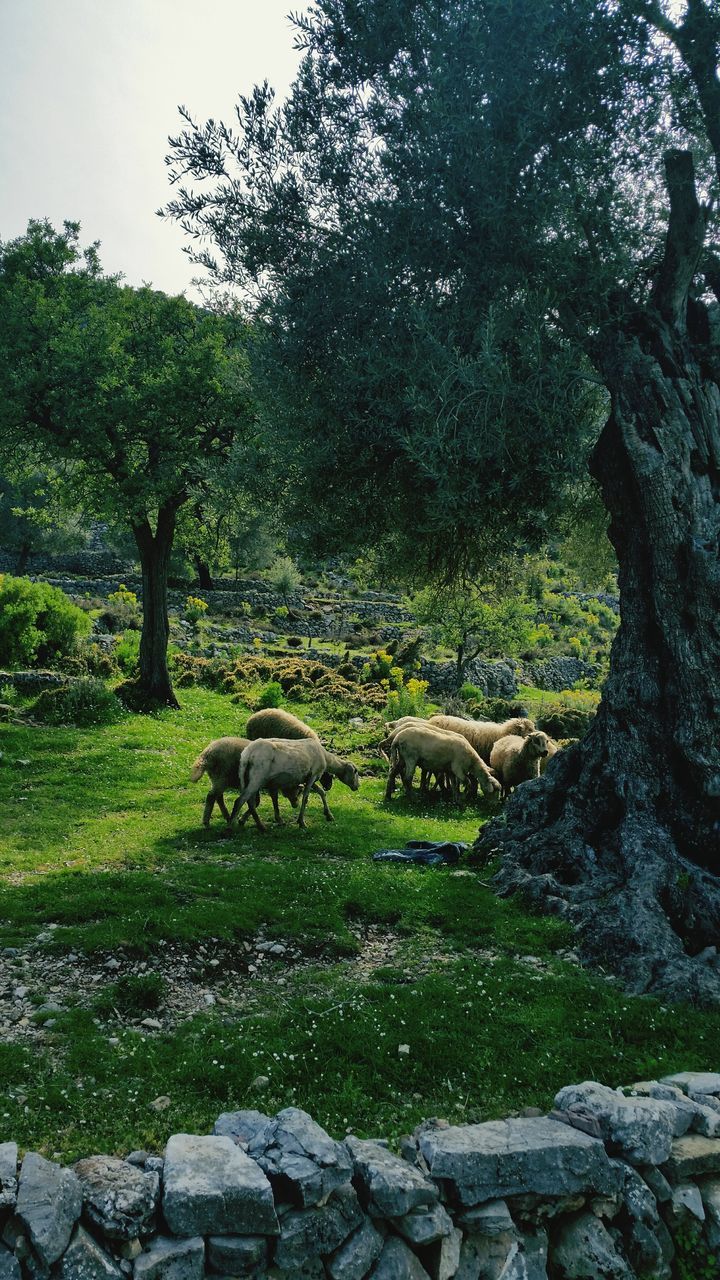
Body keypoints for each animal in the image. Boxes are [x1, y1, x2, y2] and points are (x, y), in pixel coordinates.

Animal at [190, 737, 325, 834]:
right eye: (298, 792)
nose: (295, 805)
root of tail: (207, 752)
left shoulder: (266, 786)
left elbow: (261, 801)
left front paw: (243, 819)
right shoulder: (267, 785)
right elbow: (262, 801)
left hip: (219, 779)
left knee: (217, 797)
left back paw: (228, 817)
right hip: (223, 777)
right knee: (212, 796)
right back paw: (209, 822)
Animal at [228, 742, 358, 829]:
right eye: (356, 772)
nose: (357, 787)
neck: (326, 758)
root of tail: (247, 753)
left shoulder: (307, 778)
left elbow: (321, 792)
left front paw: (328, 815)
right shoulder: (313, 776)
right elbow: (305, 798)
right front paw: (301, 822)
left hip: (247, 778)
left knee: (250, 801)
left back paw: (254, 823)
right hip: (257, 777)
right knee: (240, 800)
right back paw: (230, 827)